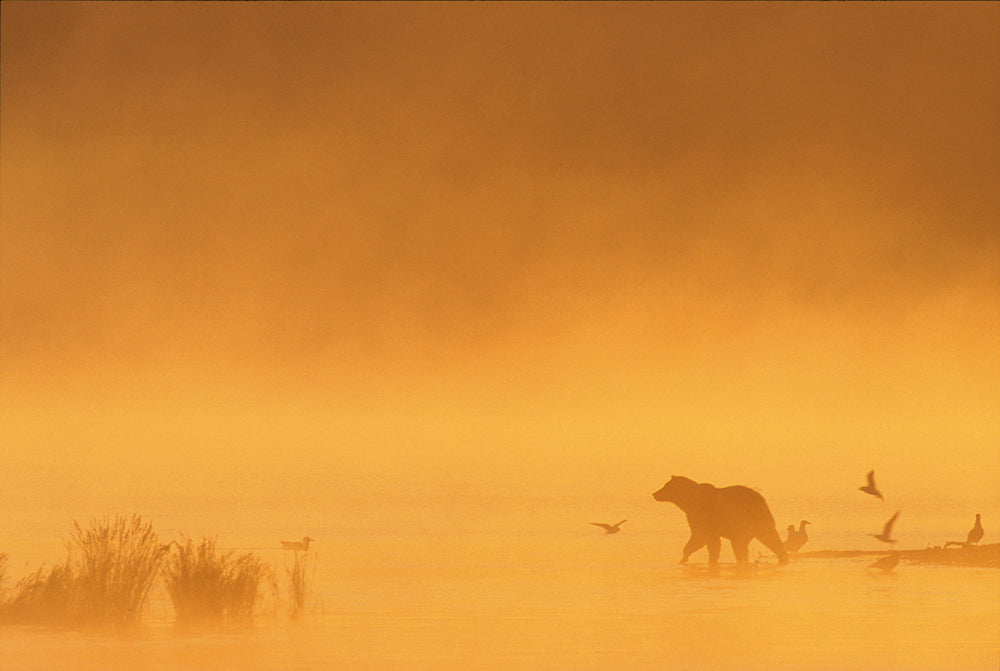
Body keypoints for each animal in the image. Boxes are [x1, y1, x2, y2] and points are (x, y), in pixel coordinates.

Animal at [653, 475, 788, 566]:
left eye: (665, 486)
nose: (655, 493)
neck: (690, 501)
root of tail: (761, 498)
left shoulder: (705, 516)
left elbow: (706, 539)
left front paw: (707, 559)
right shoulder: (696, 517)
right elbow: (699, 538)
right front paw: (685, 557)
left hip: (747, 521)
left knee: (755, 540)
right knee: (767, 538)